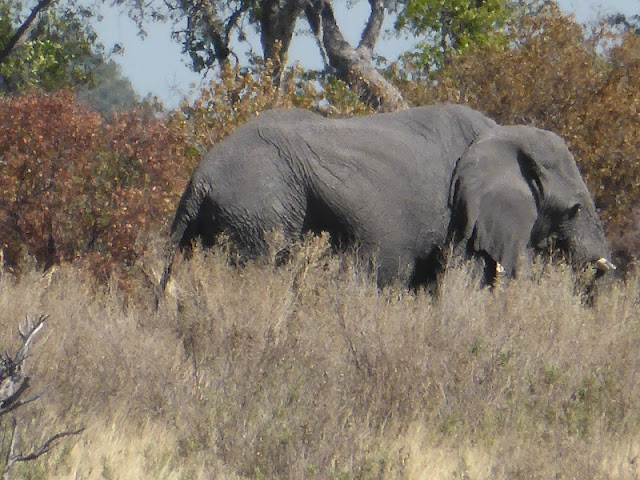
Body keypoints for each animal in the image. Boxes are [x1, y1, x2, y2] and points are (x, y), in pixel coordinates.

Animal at [160, 105, 616, 292]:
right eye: (575, 209)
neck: (502, 133)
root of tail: (199, 178)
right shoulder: (464, 215)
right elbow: (463, 287)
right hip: (261, 212)